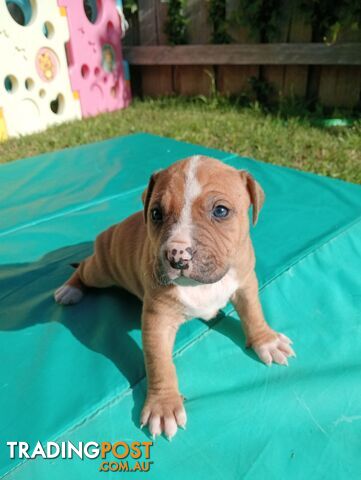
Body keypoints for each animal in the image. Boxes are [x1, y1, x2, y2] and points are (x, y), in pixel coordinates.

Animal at [54, 157, 294, 438]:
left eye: (221, 211)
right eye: (156, 214)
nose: (176, 255)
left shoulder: (245, 281)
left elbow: (253, 312)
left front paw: (266, 340)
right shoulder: (157, 319)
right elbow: (159, 362)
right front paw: (163, 405)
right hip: (101, 270)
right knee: (83, 269)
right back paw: (69, 289)